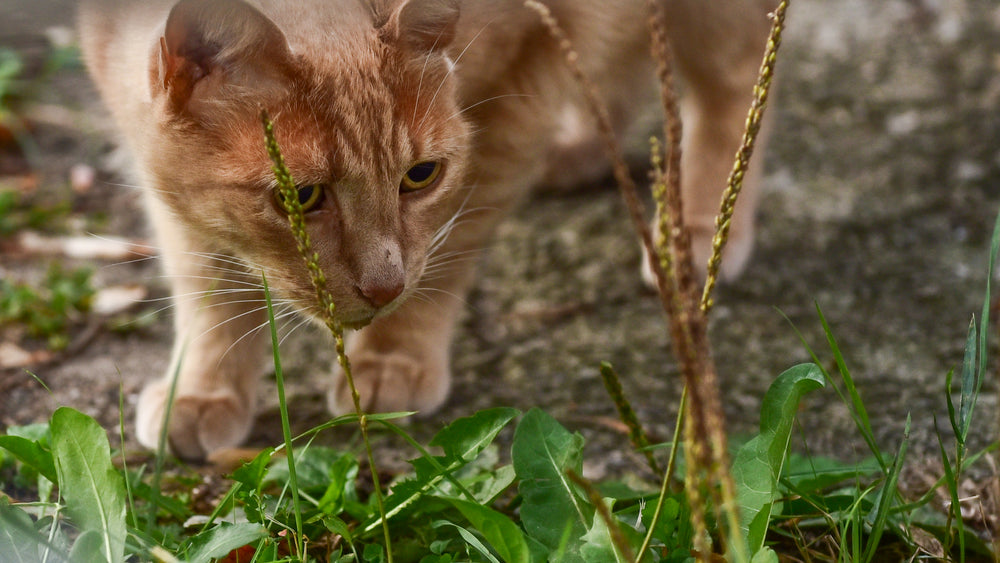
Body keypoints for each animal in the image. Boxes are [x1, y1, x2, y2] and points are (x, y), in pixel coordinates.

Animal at [78, 0, 772, 460]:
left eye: (421, 176)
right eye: (300, 197)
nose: (383, 287)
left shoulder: (522, 85)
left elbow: (452, 250)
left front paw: (396, 355)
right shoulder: (163, 174)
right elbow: (209, 280)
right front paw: (203, 388)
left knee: (735, 89)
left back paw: (697, 231)